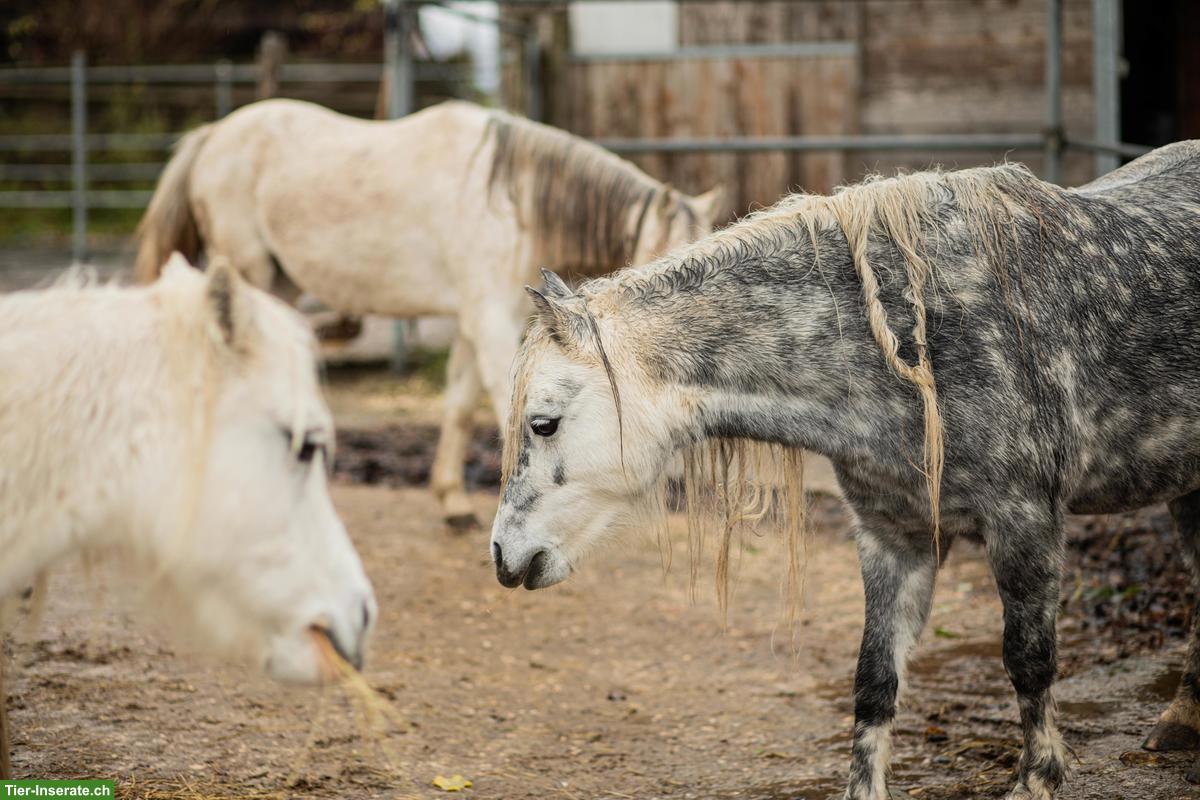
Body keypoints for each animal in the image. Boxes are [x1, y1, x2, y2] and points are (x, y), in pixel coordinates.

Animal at [133, 98, 723, 527]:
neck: (512, 202)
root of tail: (212, 135)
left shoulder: (476, 320)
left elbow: (460, 404)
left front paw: (452, 502)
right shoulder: (490, 321)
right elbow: (503, 403)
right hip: (247, 273)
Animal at [488, 141, 1200, 799]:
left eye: (542, 423)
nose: (502, 555)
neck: (914, 340)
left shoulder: (1025, 525)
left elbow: (1029, 660)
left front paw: (1038, 779)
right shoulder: (892, 536)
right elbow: (874, 679)